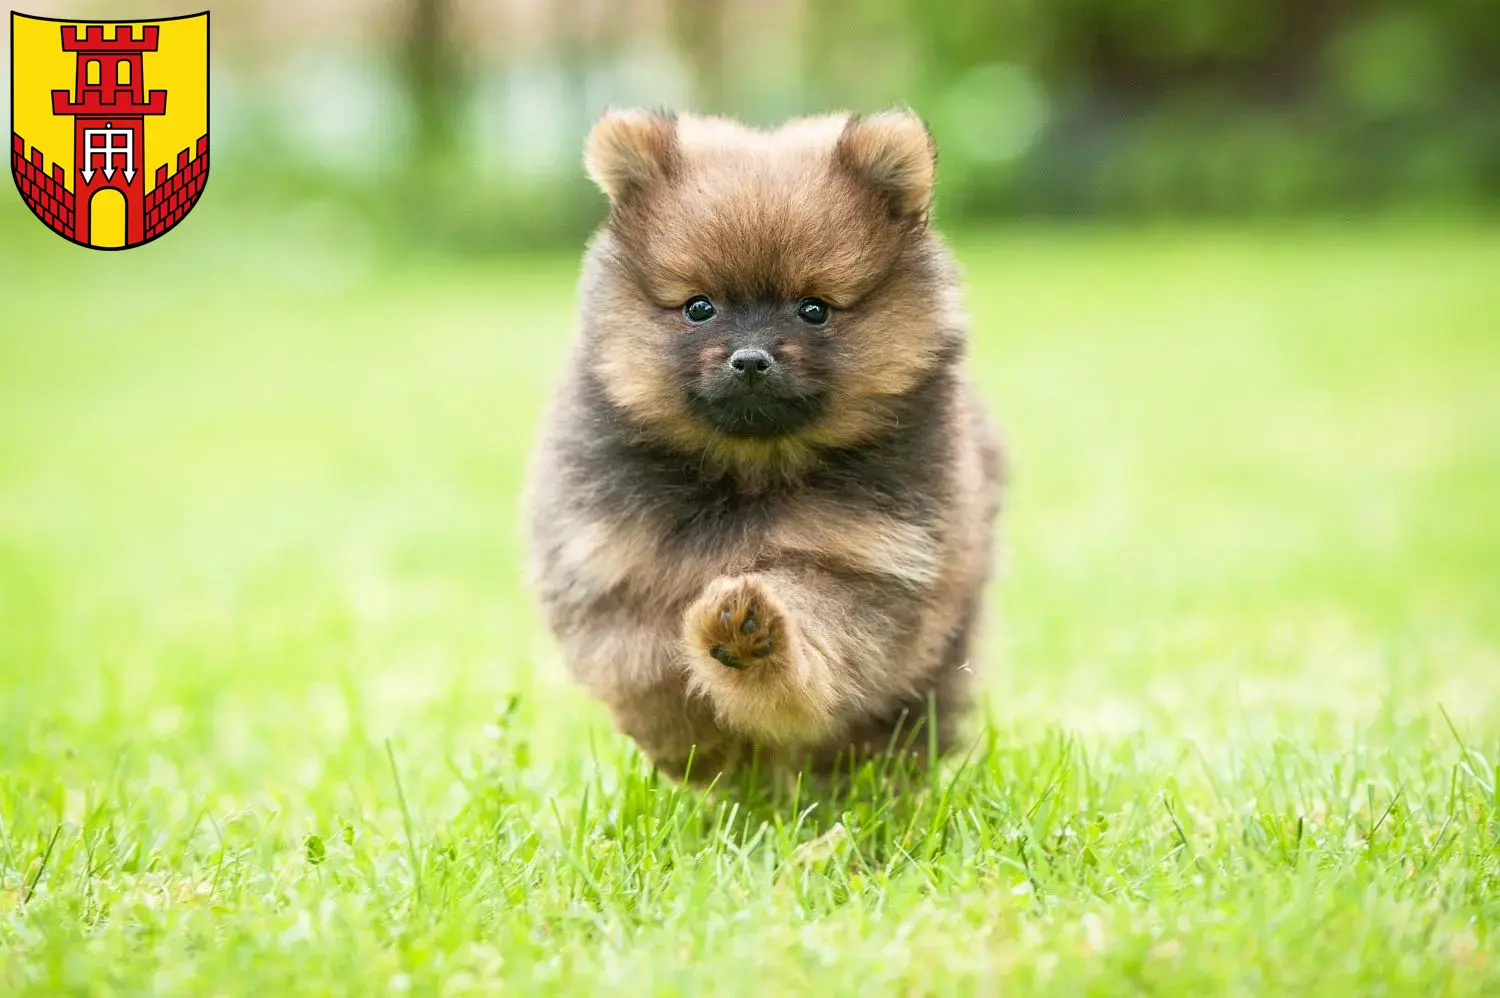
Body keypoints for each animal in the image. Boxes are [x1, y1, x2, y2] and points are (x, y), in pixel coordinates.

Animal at [522, 107, 1002, 780]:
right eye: (699, 308)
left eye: (813, 309)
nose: (751, 359)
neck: (746, 475)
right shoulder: (608, 568)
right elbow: (644, 671)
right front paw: (700, 741)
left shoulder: (866, 565)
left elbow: (820, 641)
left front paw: (748, 635)